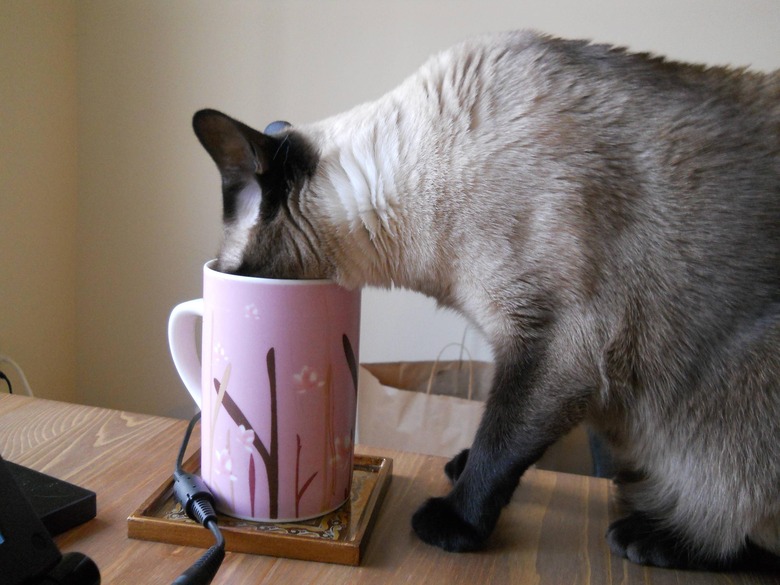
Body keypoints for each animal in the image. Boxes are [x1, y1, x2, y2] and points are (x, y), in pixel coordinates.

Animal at [190, 29, 780, 568]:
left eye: (234, 272)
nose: (220, 275)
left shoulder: (555, 348)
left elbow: (501, 443)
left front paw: (454, 522)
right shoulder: (518, 348)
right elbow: (490, 434)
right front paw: (459, 465)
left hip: (744, 396)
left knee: (741, 528)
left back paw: (650, 538)